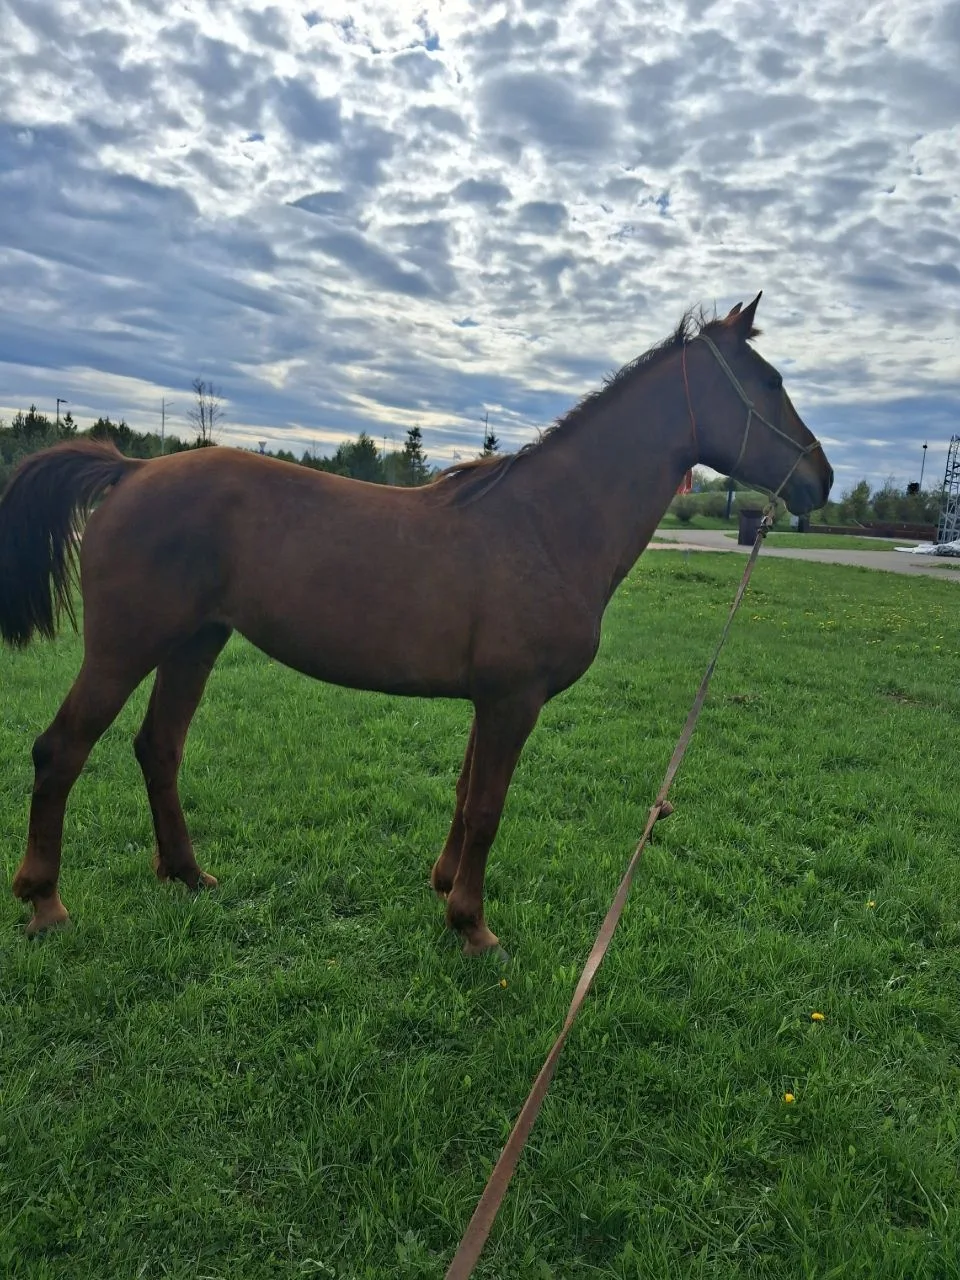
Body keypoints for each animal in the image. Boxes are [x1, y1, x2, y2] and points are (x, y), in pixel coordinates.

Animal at [0, 293, 833, 953]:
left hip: (194, 643)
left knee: (158, 748)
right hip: (125, 647)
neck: (547, 523)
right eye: (769, 382)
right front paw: (472, 925)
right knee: (61, 751)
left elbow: (465, 799)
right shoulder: (512, 701)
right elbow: (489, 809)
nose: (821, 480)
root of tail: (132, 469)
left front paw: (443, 889)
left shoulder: (489, 701)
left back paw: (184, 873)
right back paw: (46, 903)